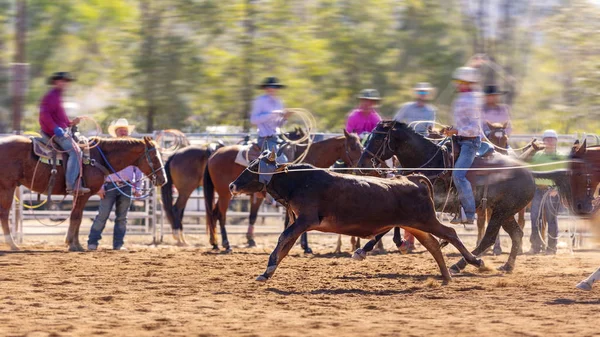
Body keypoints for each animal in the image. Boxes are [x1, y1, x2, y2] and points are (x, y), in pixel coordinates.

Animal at [0, 136, 166, 249]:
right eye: (154, 157)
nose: (163, 180)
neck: (97, 158)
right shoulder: (83, 194)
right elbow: (76, 217)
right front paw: (73, 245)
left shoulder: (77, 195)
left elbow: (77, 218)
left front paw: (75, 243)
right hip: (7, 187)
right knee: (4, 213)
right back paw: (12, 244)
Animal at [204, 131, 360, 252]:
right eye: (353, 147)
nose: (359, 167)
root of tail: (214, 154)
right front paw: (305, 247)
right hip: (224, 194)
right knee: (221, 215)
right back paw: (226, 244)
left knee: (215, 213)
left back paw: (216, 243)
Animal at [227, 153, 486, 284]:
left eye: (252, 169)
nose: (231, 185)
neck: (298, 181)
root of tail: (411, 179)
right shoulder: (297, 222)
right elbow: (286, 244)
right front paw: (267, 272)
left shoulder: (304, 221)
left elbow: (283, 239)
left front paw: (268, 268)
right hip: (416, 225)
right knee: (433, 244)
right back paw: (446, 276)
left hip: (425, 220)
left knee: (449, 234)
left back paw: (475, 262)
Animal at [356, 121, 536, 272]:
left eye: (378, 140)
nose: (361, 165)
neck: (432, 164)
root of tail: (529, 174)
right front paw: (371, 248)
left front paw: (391, 245)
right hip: (505, 213)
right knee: (517, 235)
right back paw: (507, 266)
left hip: (500, 212)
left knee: (489, 239)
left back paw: (462, 264)